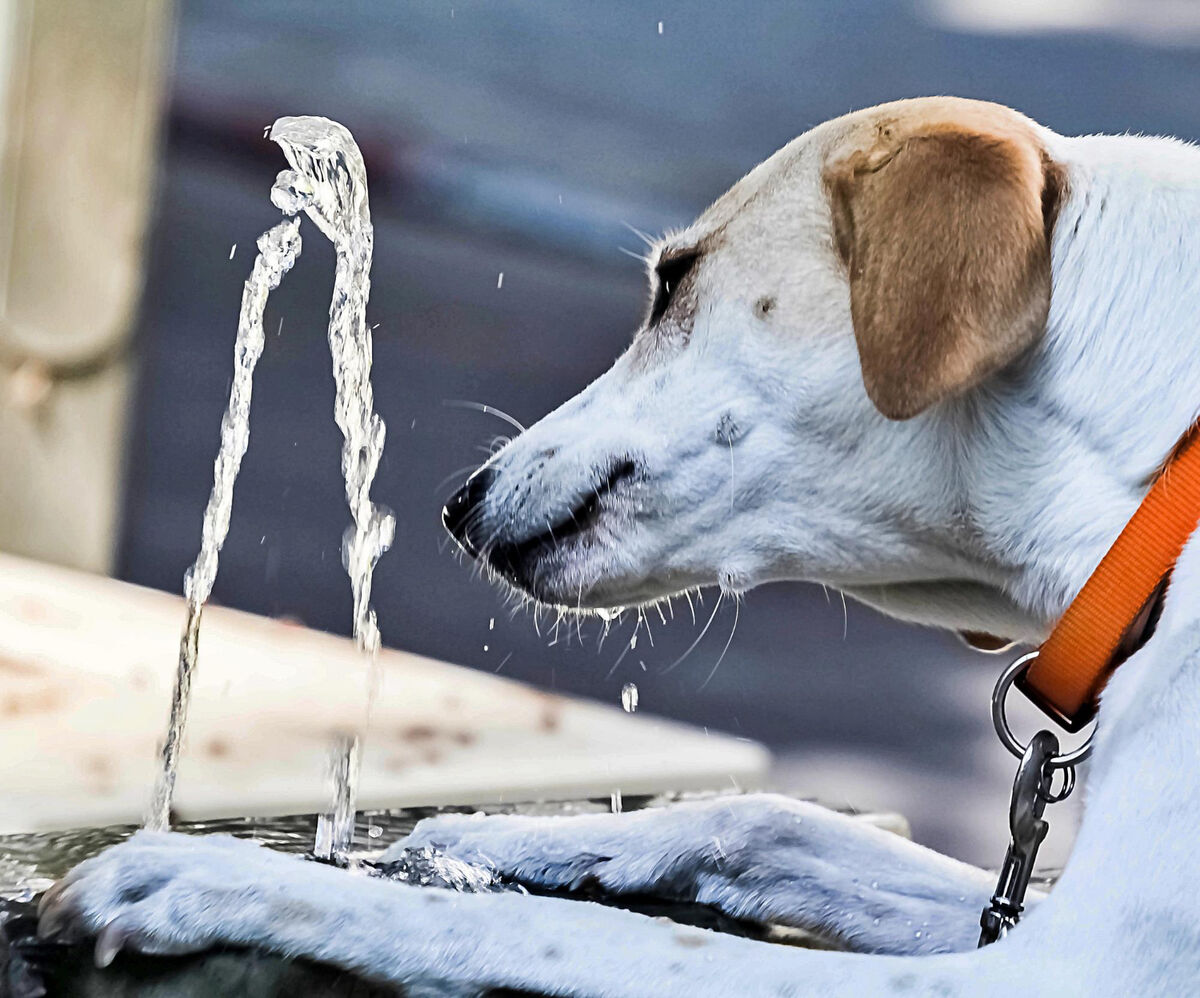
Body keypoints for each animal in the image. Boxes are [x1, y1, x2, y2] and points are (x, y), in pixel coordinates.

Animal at [32, 99, 1200, 998]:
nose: (459, 505)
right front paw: (499, 837)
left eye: (675, 281)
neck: (1155, 486)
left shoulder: (1066, 968)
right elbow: (769, 815)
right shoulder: (1030, 914)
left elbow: (570, 932)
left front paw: (216, 880)